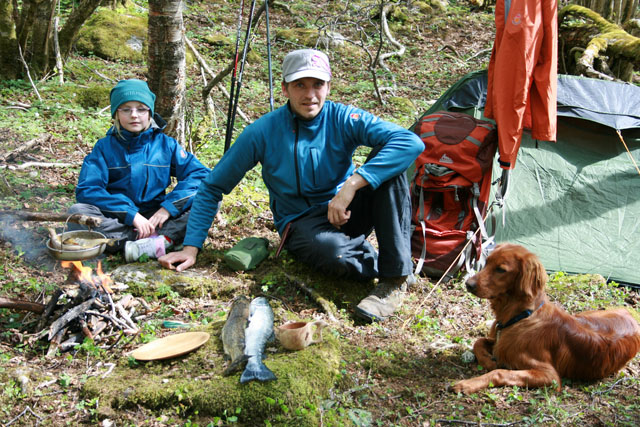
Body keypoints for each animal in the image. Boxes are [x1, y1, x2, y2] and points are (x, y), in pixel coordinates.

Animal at [450, 244, 640, 394]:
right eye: (487, 262)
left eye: (501, 270)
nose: (468, 284)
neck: (521, 316)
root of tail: (630, 315)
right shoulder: (498, 340)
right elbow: (479, 341)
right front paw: (488, 361)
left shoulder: (550, 376)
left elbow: (500, 372)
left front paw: (467, 384)